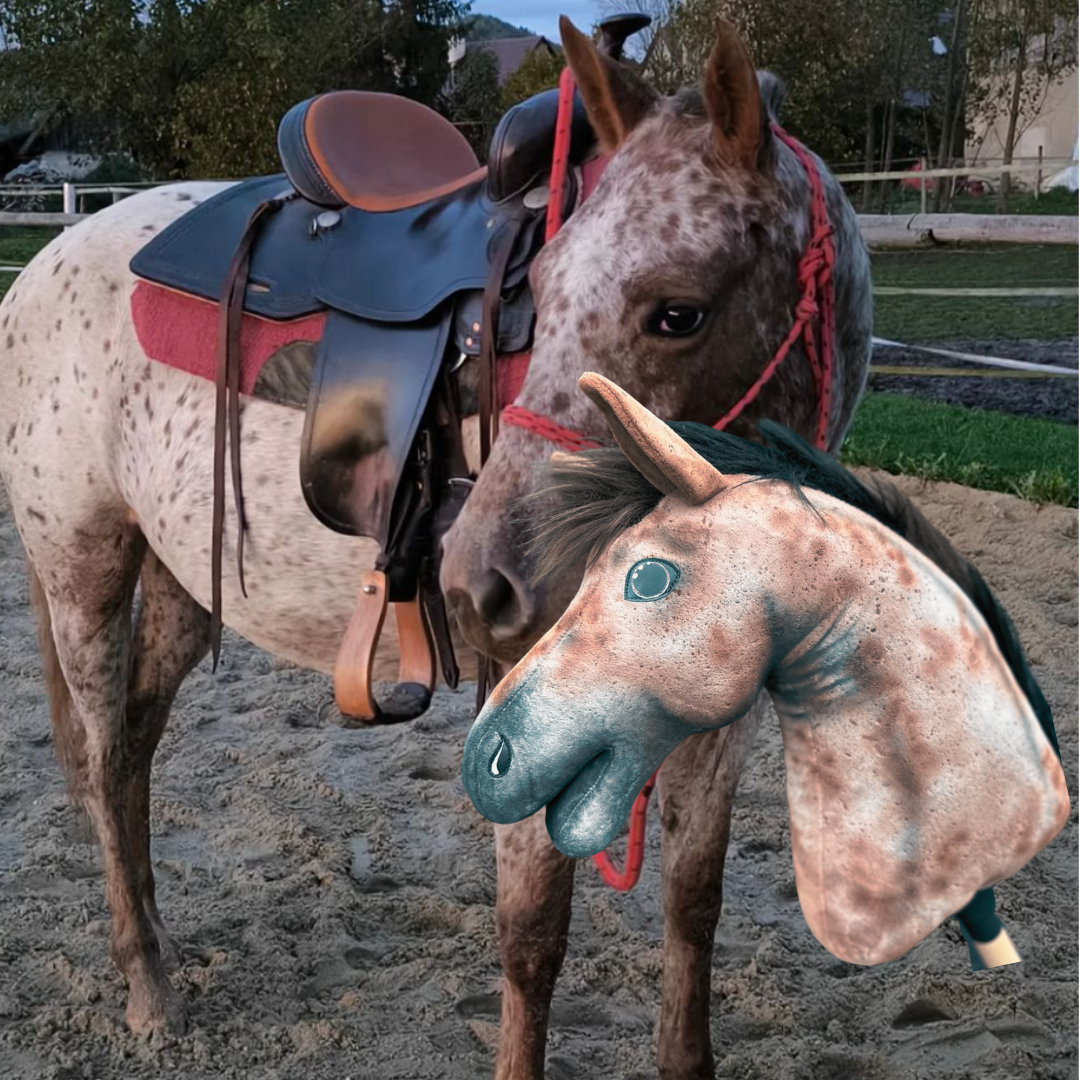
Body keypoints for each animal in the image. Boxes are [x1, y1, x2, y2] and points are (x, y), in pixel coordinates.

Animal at [0, 15, 872, 1071]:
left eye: (679, 312)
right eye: (543, 289)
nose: (477, 586)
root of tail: (47, 264)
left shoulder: (723, 699)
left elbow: (693, 902)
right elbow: (534, 933)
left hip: (180, 583)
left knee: (128, 758)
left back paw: (161, 950)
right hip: (82, 568)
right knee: (96, 759)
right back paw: (146, 990)